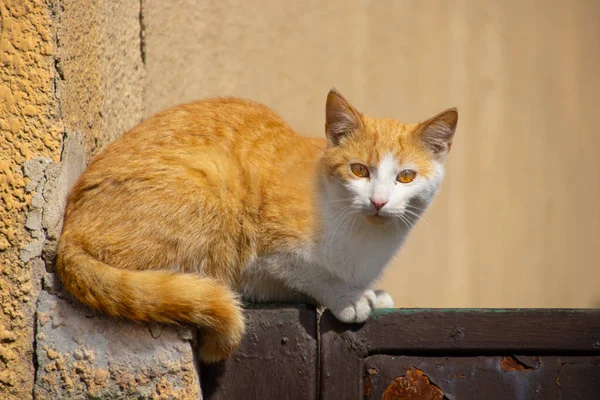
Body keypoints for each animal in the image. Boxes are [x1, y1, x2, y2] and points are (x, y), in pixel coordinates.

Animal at [57, 90, 460, 362]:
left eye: (406, 176)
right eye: (359, 170)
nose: (378, 201)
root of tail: (68, 235)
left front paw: (371, 292)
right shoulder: (269, 251)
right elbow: (311, 272)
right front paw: (348, 296)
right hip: (216, 180)